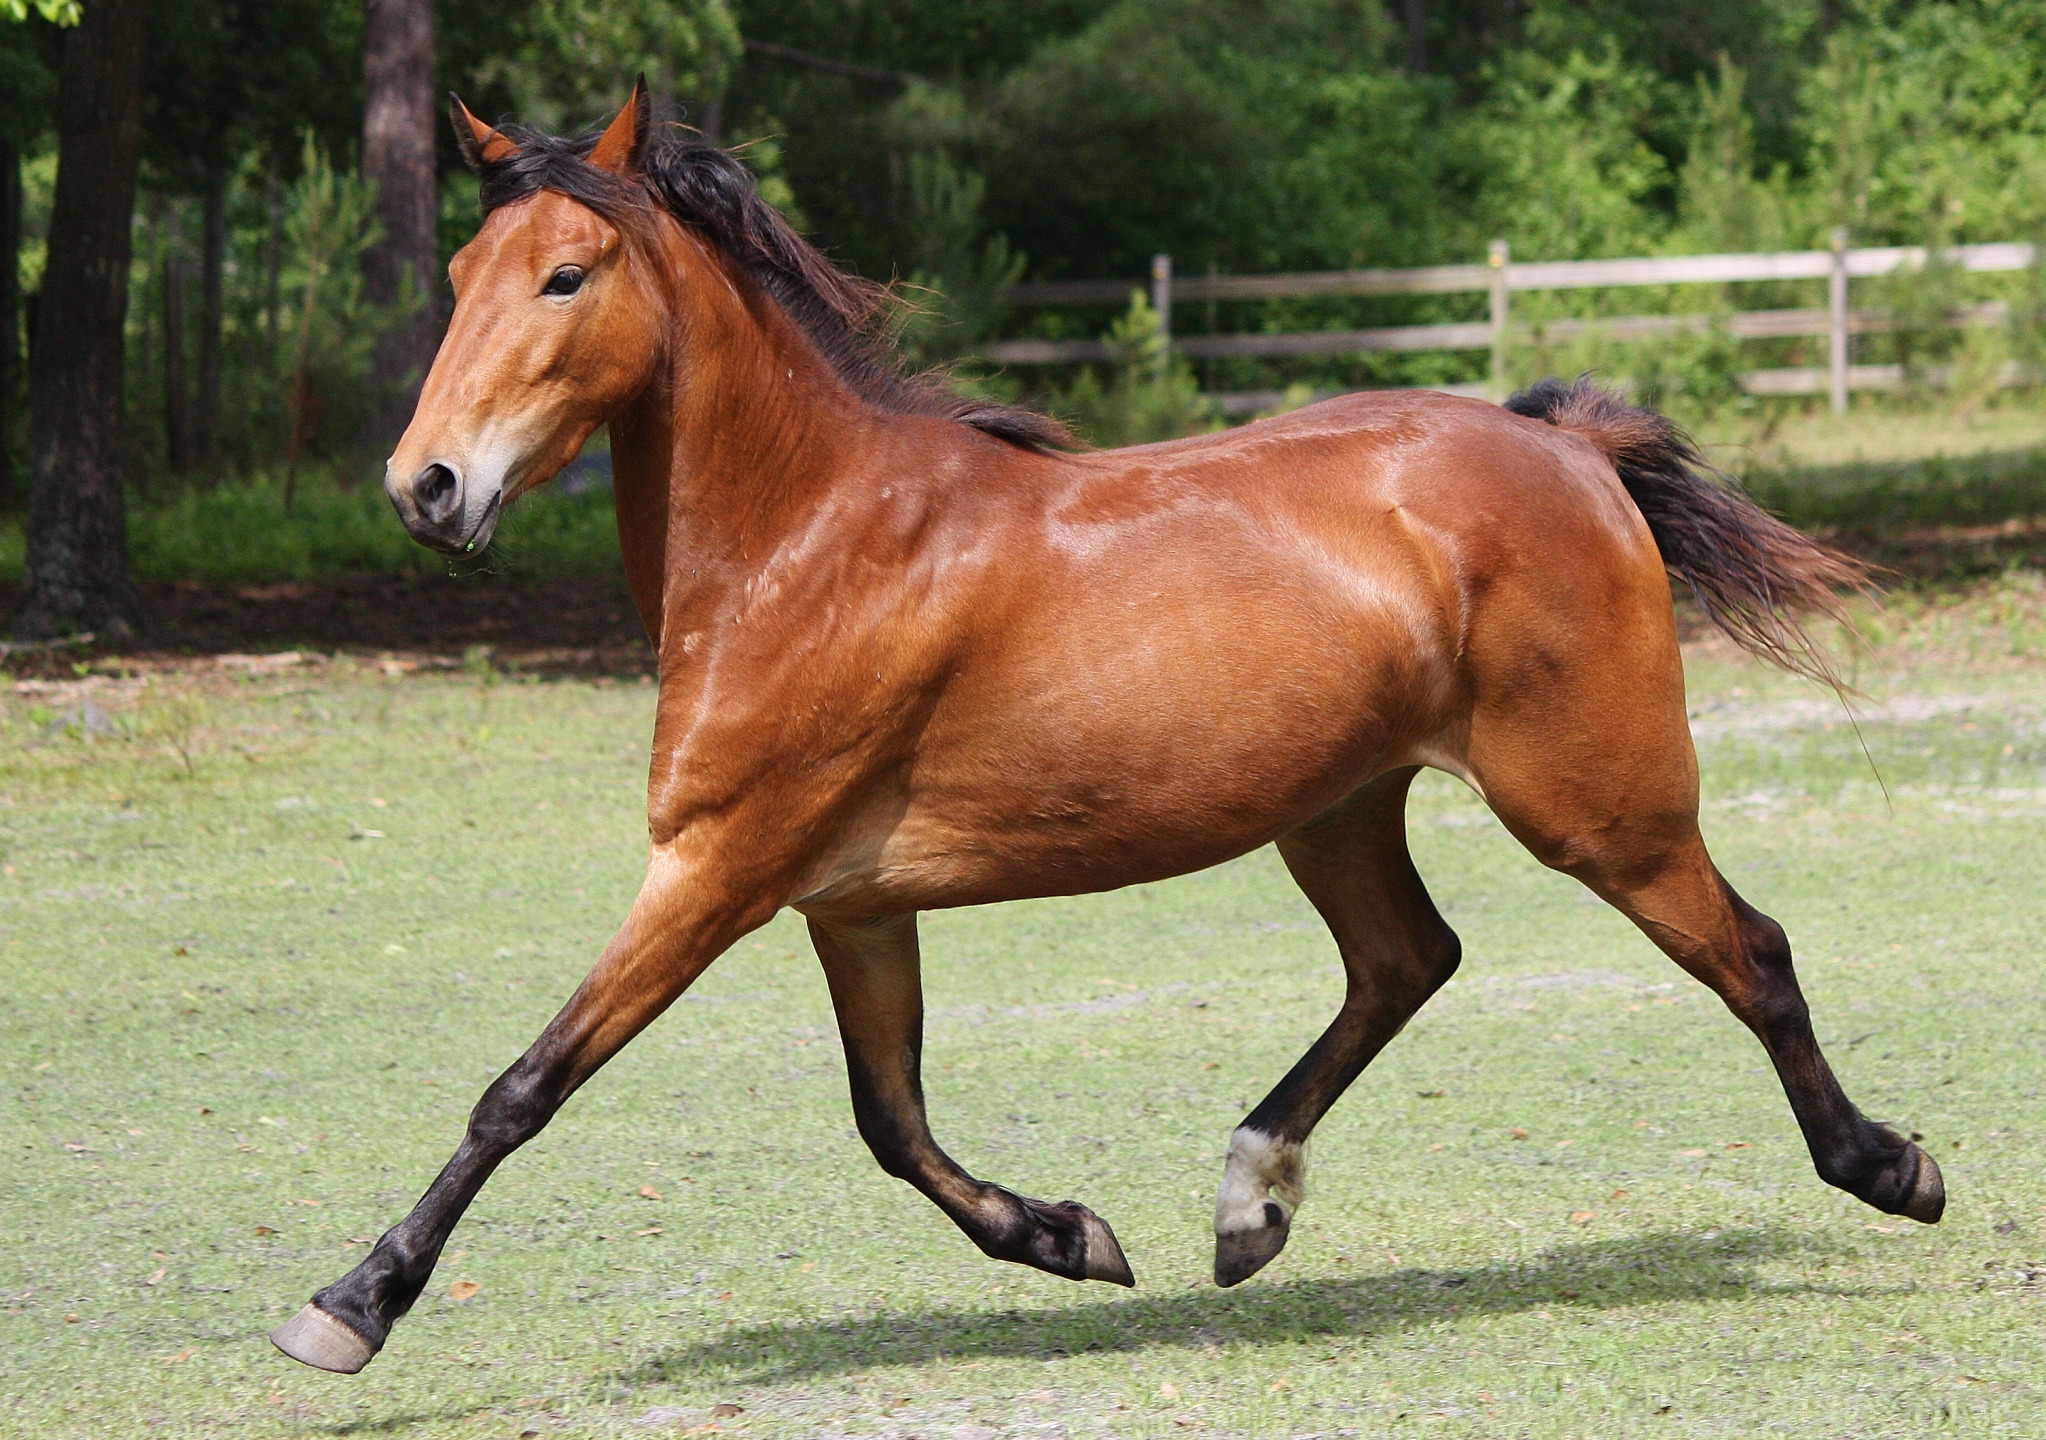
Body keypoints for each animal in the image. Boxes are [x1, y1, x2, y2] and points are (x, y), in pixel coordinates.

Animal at [272, 84, 1947, 1374]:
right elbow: (889, 1119)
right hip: (1336, 806)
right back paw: (1247, 1206)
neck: (804, 544)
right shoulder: (844, 904)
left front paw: (348, 1304)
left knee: (1748, 952)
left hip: (1596, 803)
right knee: (1406, 960)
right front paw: (1072, 1236)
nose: (425, 489)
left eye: (565, 276)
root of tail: (1568, 448)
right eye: (462, 272)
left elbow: (524, 1084)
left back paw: (1890, 1168)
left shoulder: (716, 870)